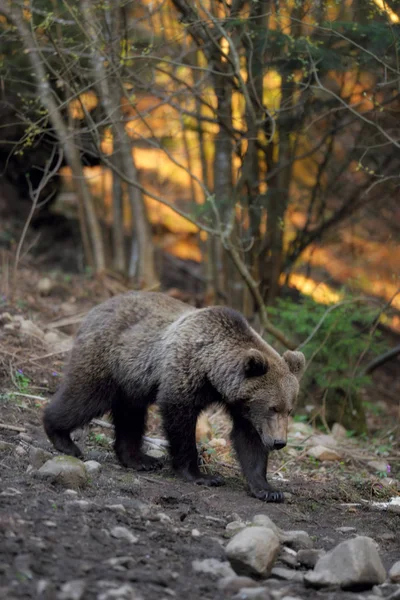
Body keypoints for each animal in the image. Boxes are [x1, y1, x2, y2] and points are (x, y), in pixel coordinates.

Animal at [43, 290, 304, 502]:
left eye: (288, 409)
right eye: (273, 407)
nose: (279, 442)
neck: (212, 372)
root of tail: (96, 308)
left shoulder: (242, 405)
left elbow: (249, 439)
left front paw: (268, 489)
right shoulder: (184, 372)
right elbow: (180, 420)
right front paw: (202, 475)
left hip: (131, 380)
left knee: (130, 415)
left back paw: (140, 459)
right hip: (108, 360)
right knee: (84, 397)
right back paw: (63, 438)